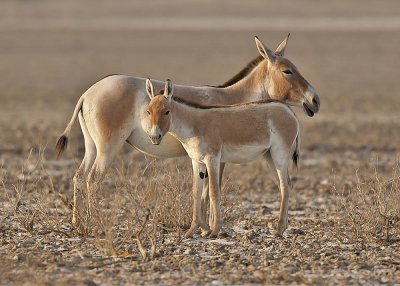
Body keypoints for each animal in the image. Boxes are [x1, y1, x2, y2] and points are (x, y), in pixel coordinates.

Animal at [145, 77, 298, 237]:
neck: (193, 125)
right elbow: (195, 193)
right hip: (269, 156)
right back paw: (283, 227)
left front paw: (215, 230)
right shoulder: (196, 161)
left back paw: (279, 230)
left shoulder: (212, 159)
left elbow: (213, 191)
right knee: (285, 185)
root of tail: (288, 110)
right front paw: (192, 230)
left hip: (279, 154)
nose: (154, 137)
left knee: (285, 186)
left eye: (166, 111)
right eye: (148, 112)